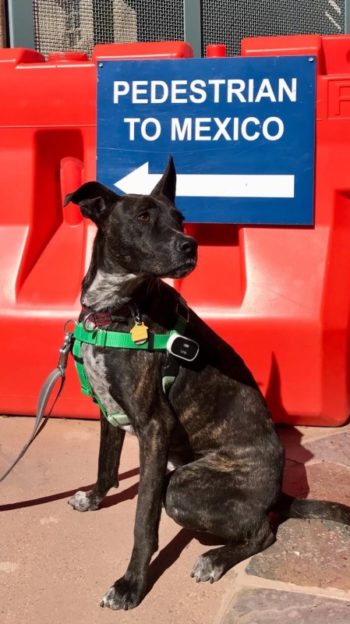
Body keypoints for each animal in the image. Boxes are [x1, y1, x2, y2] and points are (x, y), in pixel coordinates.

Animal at [65, 158, 350, 612]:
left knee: (263, 529)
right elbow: (105, 465)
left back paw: (215, 559)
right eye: (143, 217)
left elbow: (143, 519)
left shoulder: (154, 426)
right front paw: (94, 497)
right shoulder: (109, 412)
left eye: (180, 218)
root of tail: (276, 491)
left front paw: (131, 584)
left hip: (186, 486)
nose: (190, 246)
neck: (117, 309)